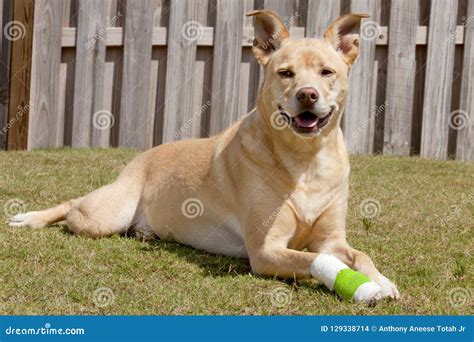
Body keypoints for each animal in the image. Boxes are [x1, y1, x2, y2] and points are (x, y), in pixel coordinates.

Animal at [9, 11, 398, 302]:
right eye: (285, 73)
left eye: (326, 72)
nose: (307, 94)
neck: (306, 161)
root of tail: (143, 155)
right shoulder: (265, 250)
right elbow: (318, 259)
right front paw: (364, 287)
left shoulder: (332, 239)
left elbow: (357, 254)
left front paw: (381, 280)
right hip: (105, 214)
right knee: (73, 205)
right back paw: (30, 218)